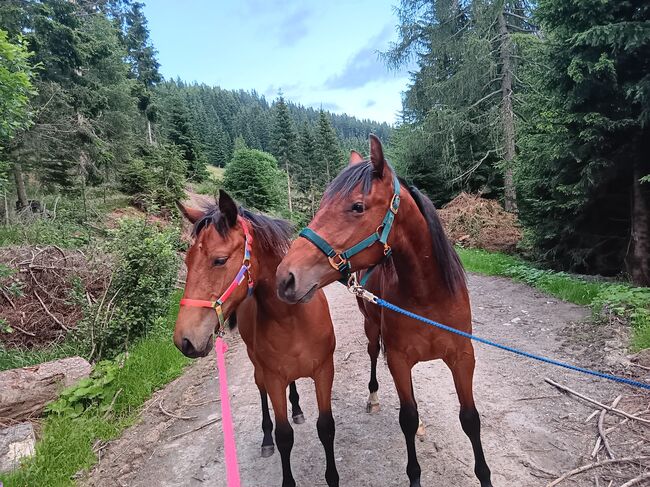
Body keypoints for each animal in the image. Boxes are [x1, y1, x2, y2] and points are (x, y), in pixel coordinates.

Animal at [175, 192, 340, 487]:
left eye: (219, 260)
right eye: (187, 261)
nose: (184, 340)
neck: (292, 318)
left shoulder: (324, 371)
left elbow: (326, 427)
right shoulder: (273, 378)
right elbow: (284, 436)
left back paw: (297, 409)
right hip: (257, 366)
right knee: (261, 392)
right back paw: (266, 438)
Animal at [274, 134, 492, 487]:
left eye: (357, 206)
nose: (285, 277)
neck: (428, 297)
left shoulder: (462, 357)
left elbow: (470, 419)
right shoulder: (400, 359)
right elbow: (408, 416)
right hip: (372, 329)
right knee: (374, 355)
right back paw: (373, 397)